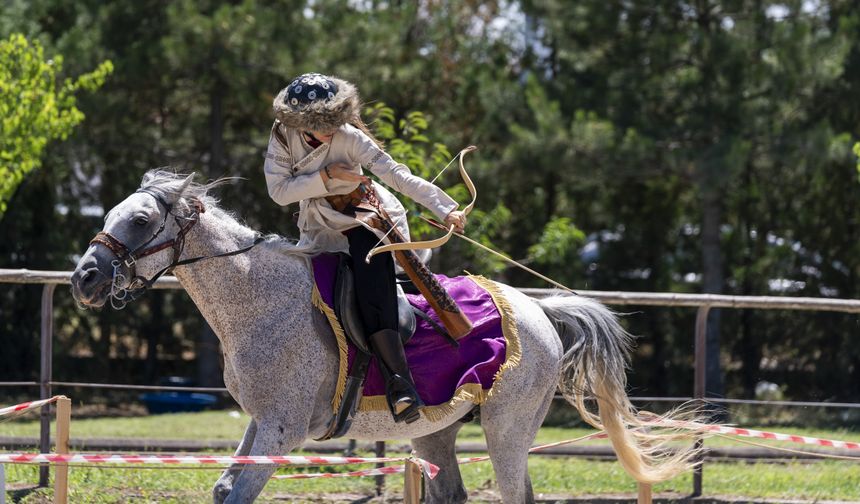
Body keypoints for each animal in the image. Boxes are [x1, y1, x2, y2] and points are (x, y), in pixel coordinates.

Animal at [72, 170, 700, 504]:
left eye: (140, 220)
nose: (85, 279)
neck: (259, 298)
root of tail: (538, 311)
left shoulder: (282, 427)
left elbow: (241, 492)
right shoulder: (262, 421)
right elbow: (227, 488)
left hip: (507, 430)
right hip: (437, 432)